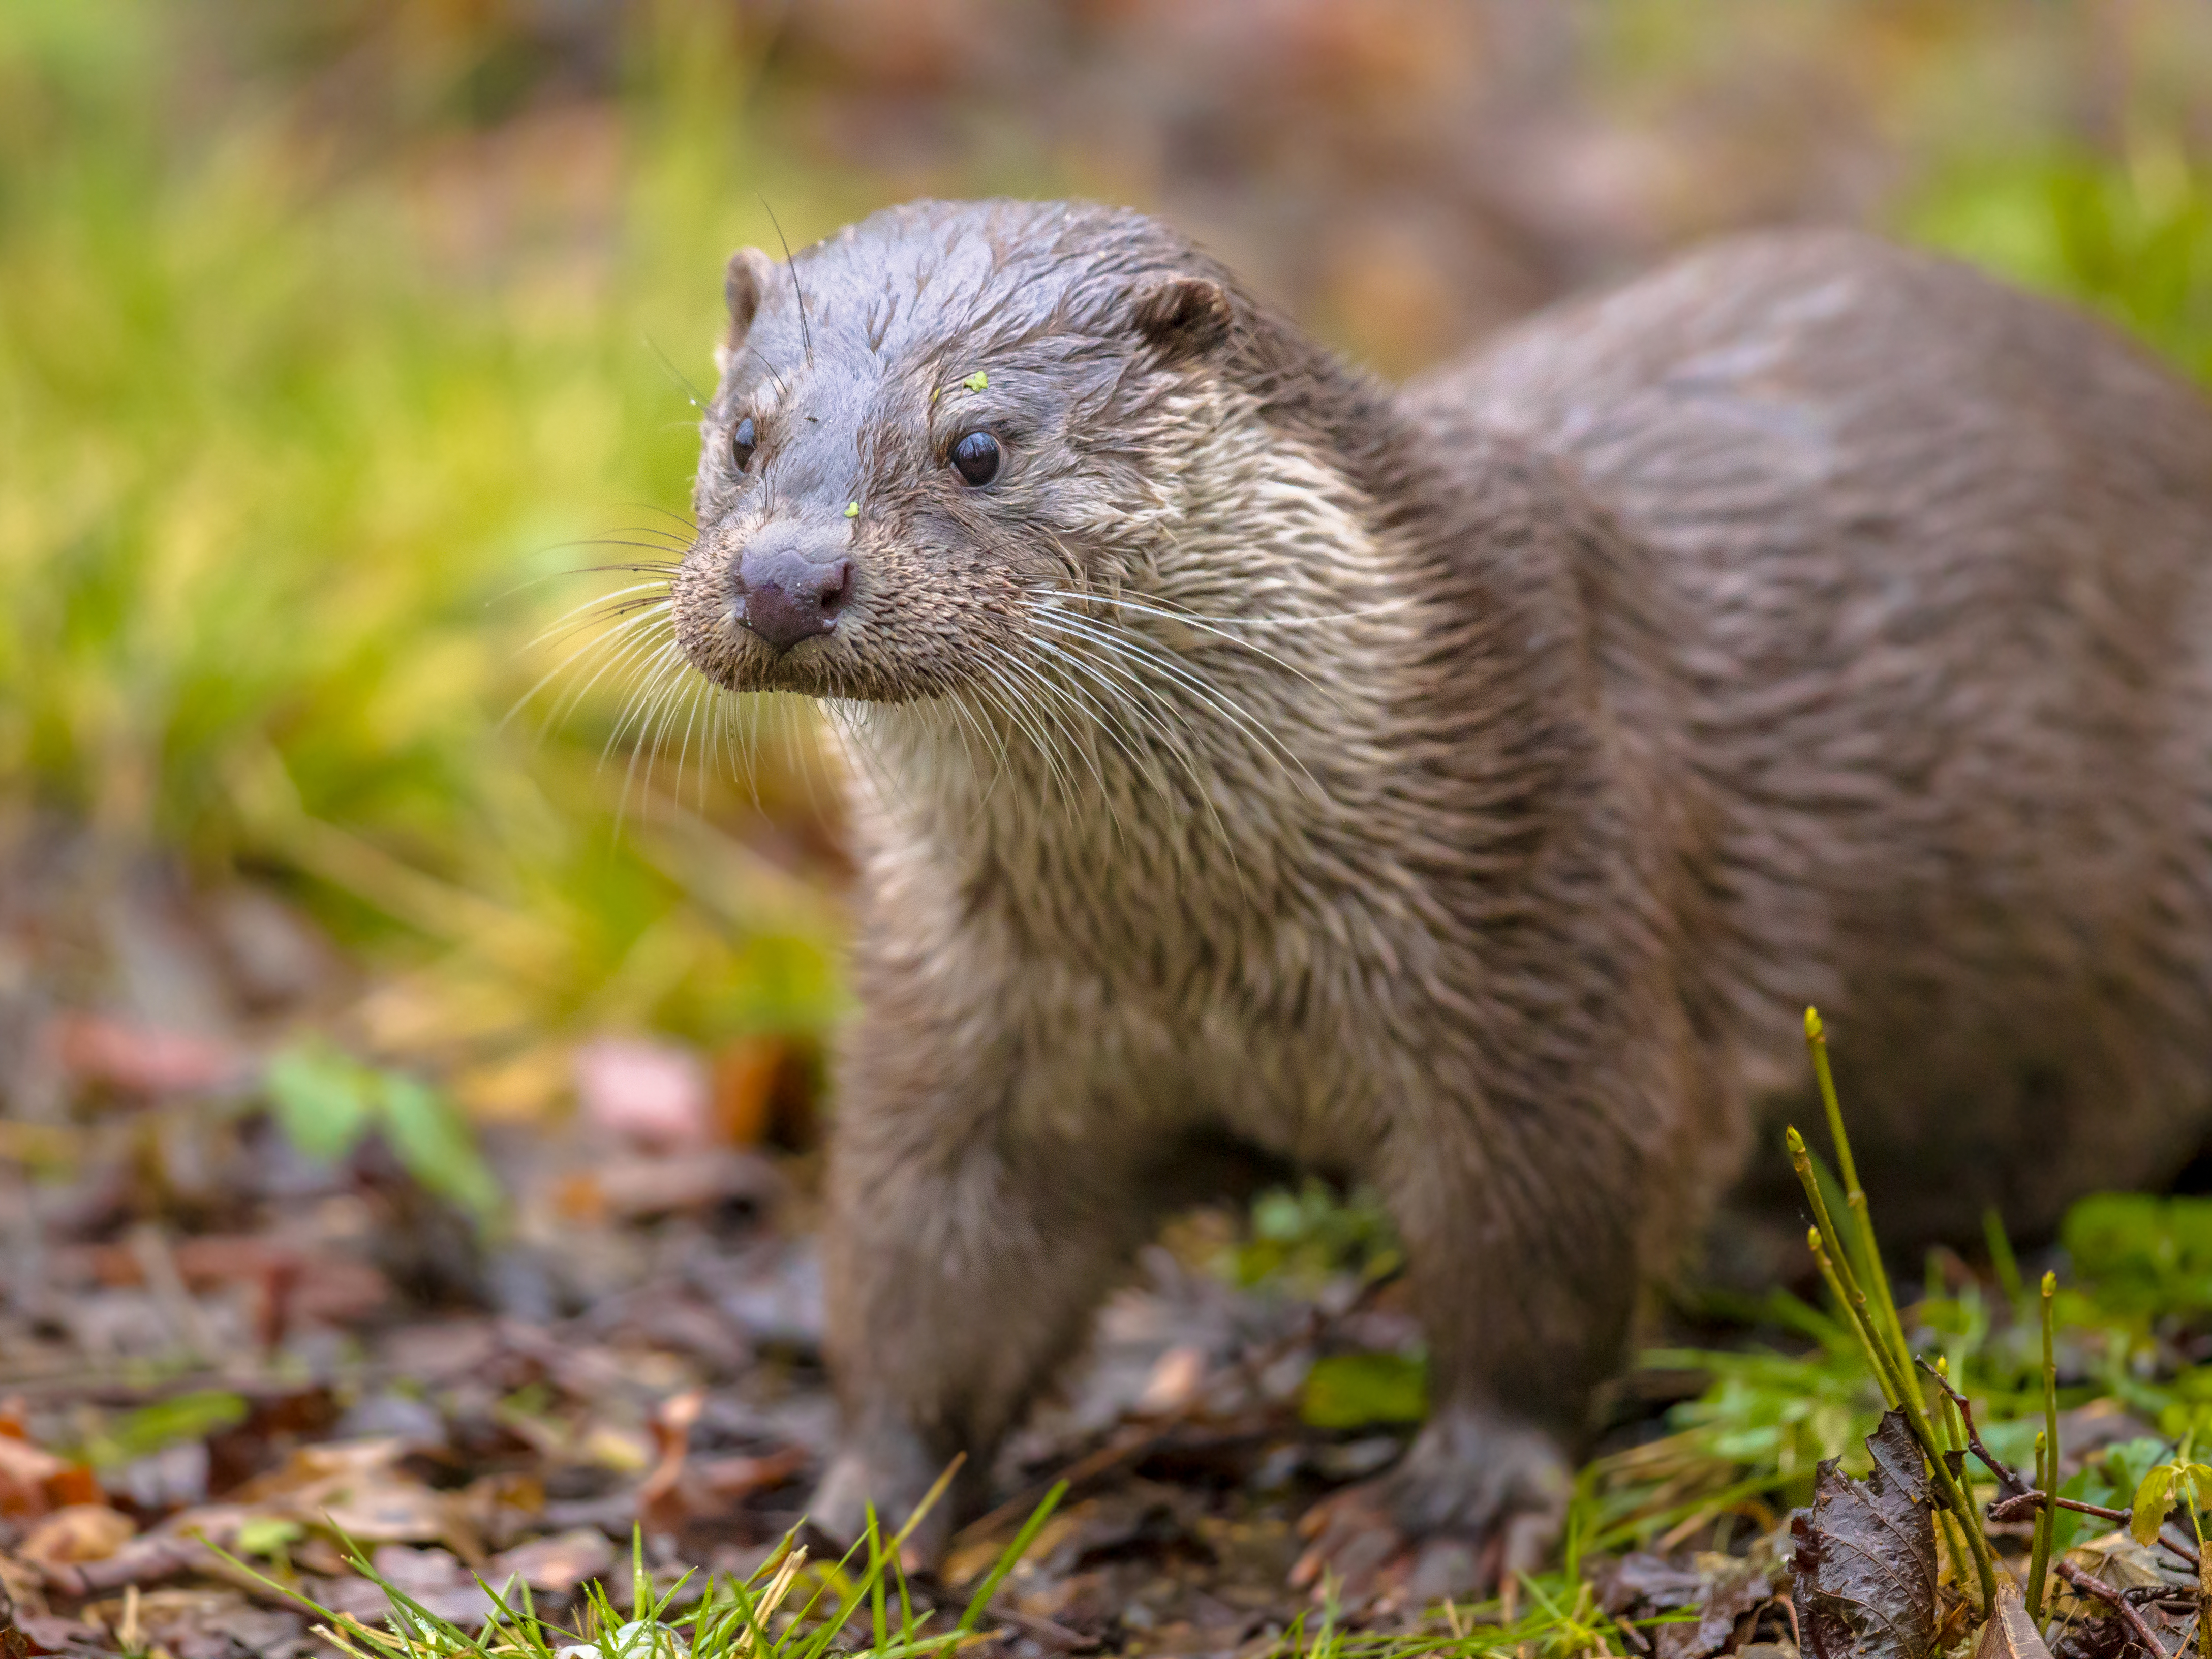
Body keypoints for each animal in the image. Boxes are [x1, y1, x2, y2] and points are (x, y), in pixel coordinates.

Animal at [663, 201, 2212, 1601]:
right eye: (742, 434)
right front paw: (854, 1514)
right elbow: (925, 1258)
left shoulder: (1543, 953)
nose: (788, 576)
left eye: (980, 449)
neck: (1190, 941)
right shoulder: (970, 1017)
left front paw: (1452, 1508)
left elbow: (1541, 1256)